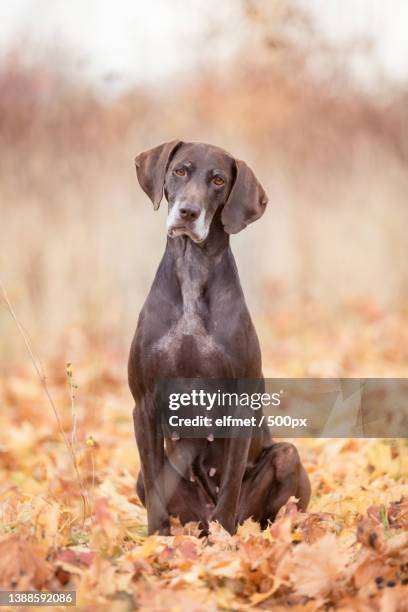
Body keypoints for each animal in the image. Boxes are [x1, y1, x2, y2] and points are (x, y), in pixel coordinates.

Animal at [127, 141, 310, 532]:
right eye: (180, 170)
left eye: (219, 180)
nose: (188, 212)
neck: (193, 270)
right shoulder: (144, 404)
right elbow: (154, 480)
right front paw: (157, 538)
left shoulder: (240, 403)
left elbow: (229, 485)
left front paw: (224, 540)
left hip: (286, 457)